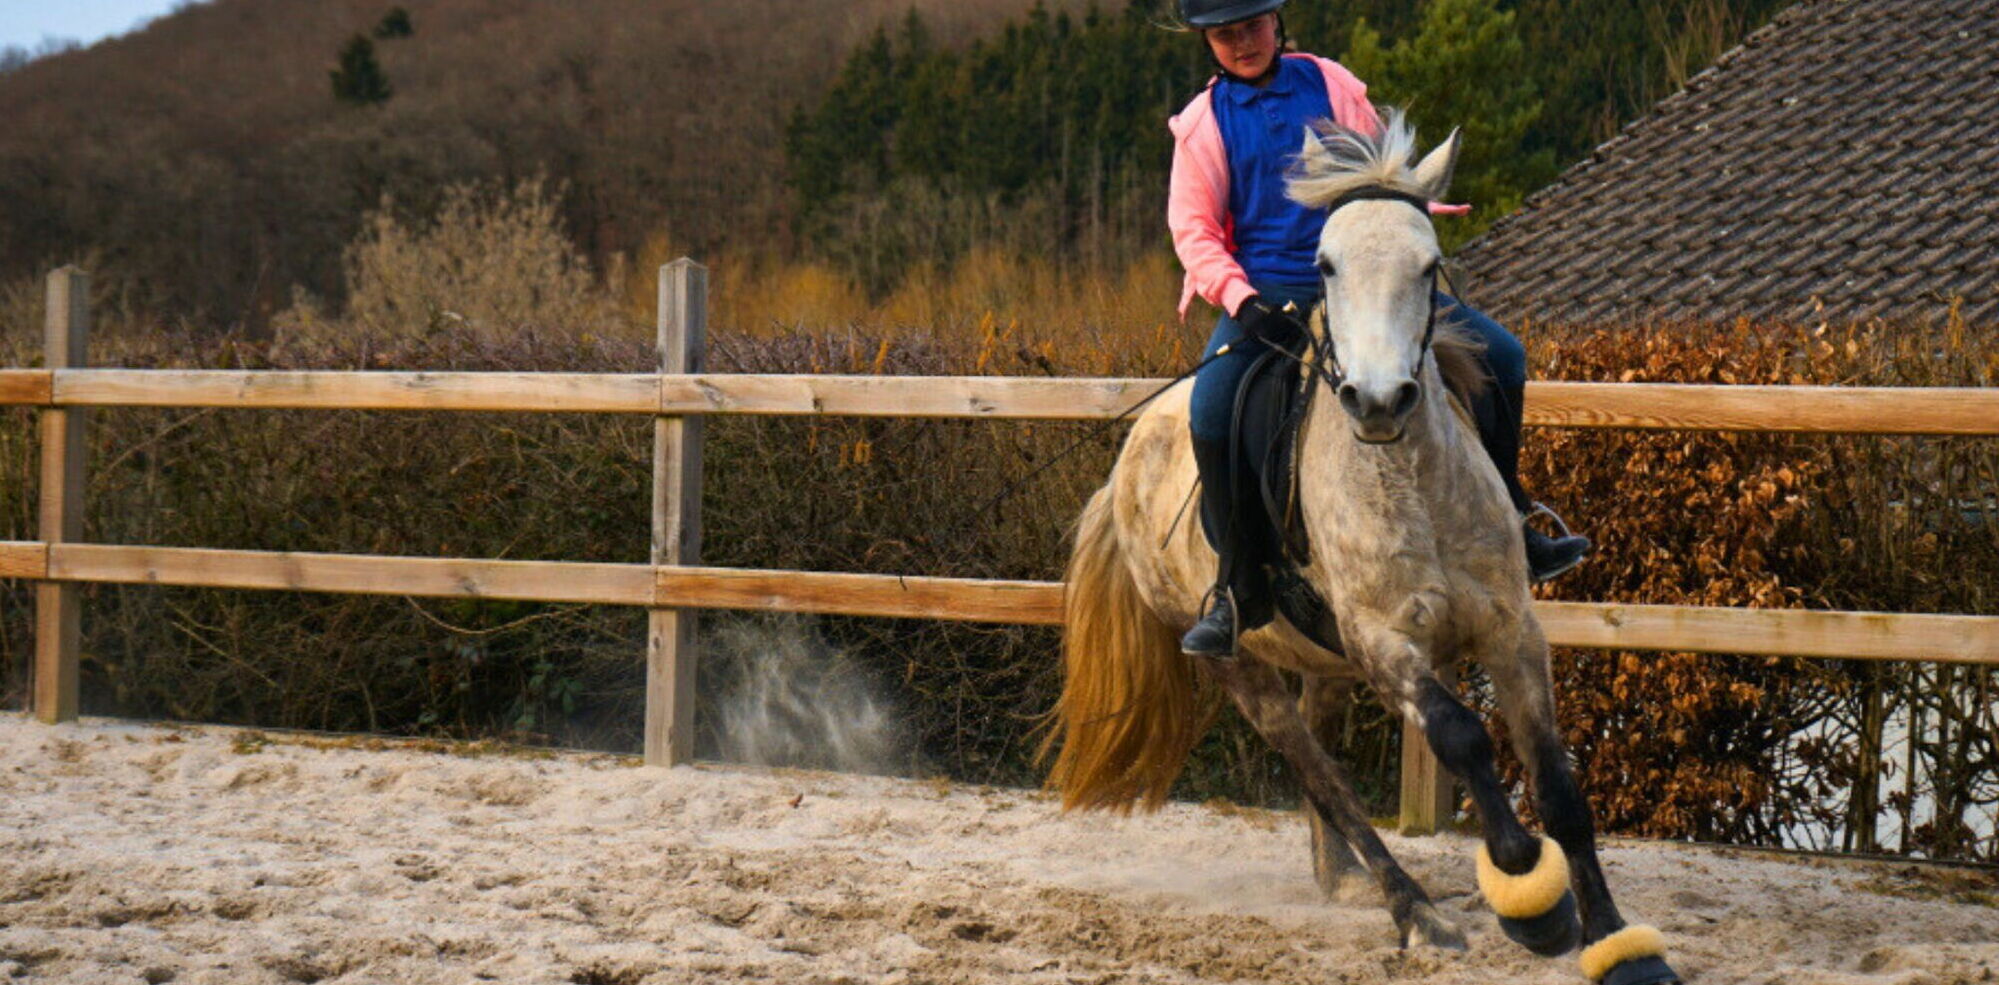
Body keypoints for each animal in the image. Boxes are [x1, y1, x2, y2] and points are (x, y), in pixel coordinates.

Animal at [1043, 112, 1682, 985]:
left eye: (1429, 264)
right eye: (1325, 263)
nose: (1377, 401)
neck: (1408, 479)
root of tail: (1125, 465)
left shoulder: (1511, 628)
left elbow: (1557, 783)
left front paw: (1619, 945)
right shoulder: (1386, 642)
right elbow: (1460, 736)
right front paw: (1531, 899)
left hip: (1324, 659)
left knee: (1324, 763)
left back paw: (1343, 879)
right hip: (1240, 665)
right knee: (1319, 770)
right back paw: (1412, 910)